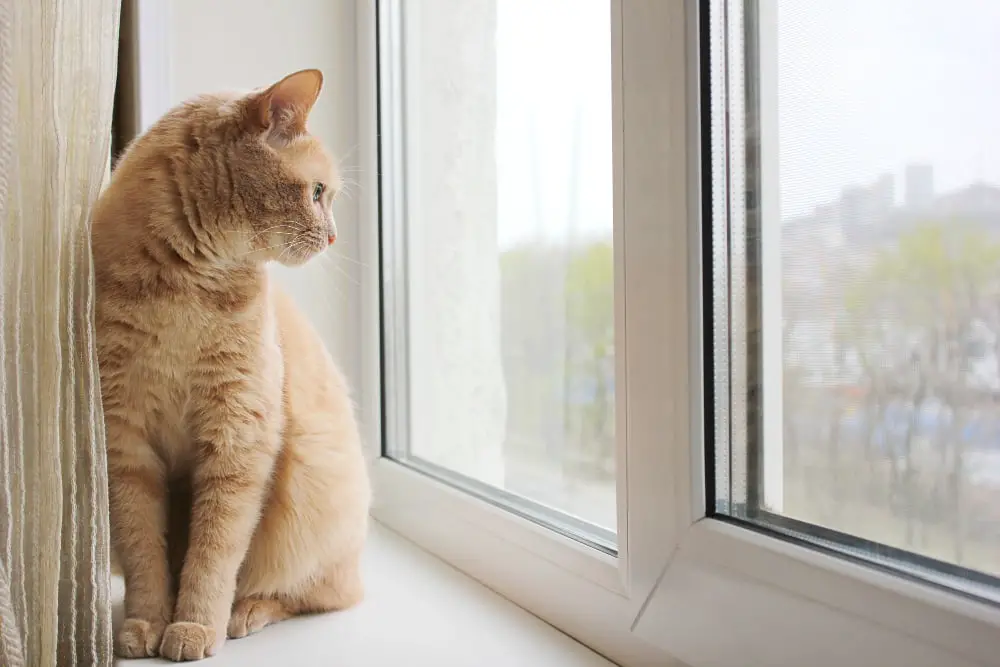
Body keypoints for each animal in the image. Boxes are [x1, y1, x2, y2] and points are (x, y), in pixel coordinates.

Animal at [91, 70, 368, 660]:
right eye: (317, 193)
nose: (333, 236)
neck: (184, 289)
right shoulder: (126, 447)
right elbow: (146, 555)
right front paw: (146, 623)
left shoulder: (236, 440)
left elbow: (213, 556)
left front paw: (195, 626)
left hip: (310, 496)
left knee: (318, 594)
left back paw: (247, 612)